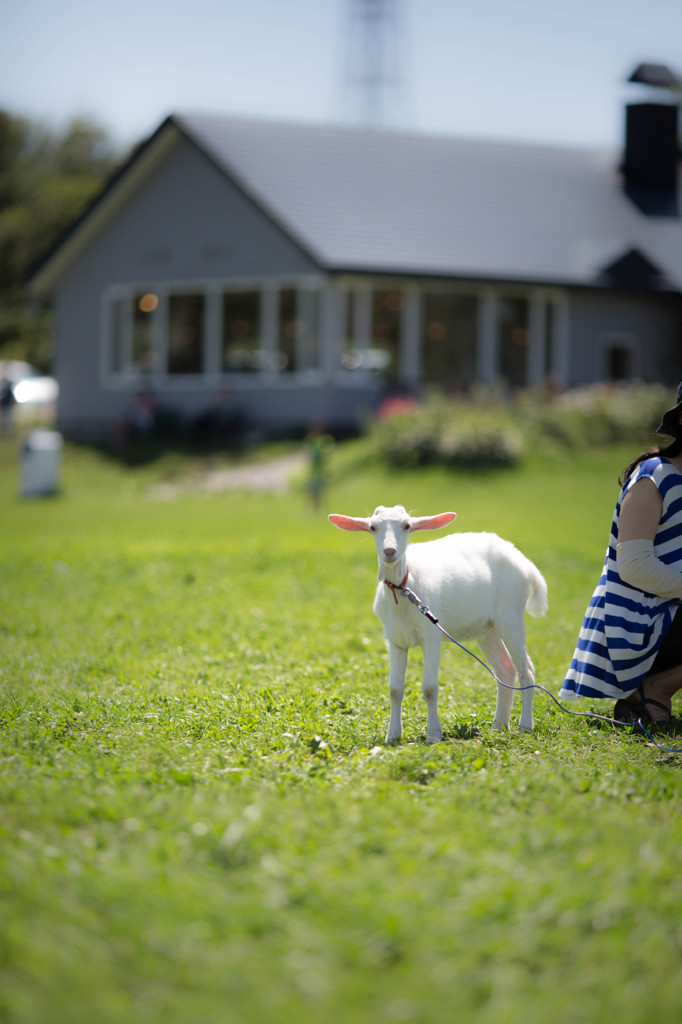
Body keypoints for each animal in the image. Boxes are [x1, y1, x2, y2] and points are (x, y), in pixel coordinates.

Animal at [327, 505, 544, 741]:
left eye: (407, 525)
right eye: (373, 527)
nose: (390, 551)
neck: (405, 588)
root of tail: (524, 563)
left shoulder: (431, 635)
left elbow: (429, 687)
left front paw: (433, 734)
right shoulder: (395, 639)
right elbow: (394, 688)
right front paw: (392, 736)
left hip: (510, 614)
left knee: (526, 670)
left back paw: (525, 726)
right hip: (487, 629)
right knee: (505, 669)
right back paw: (498, 726)